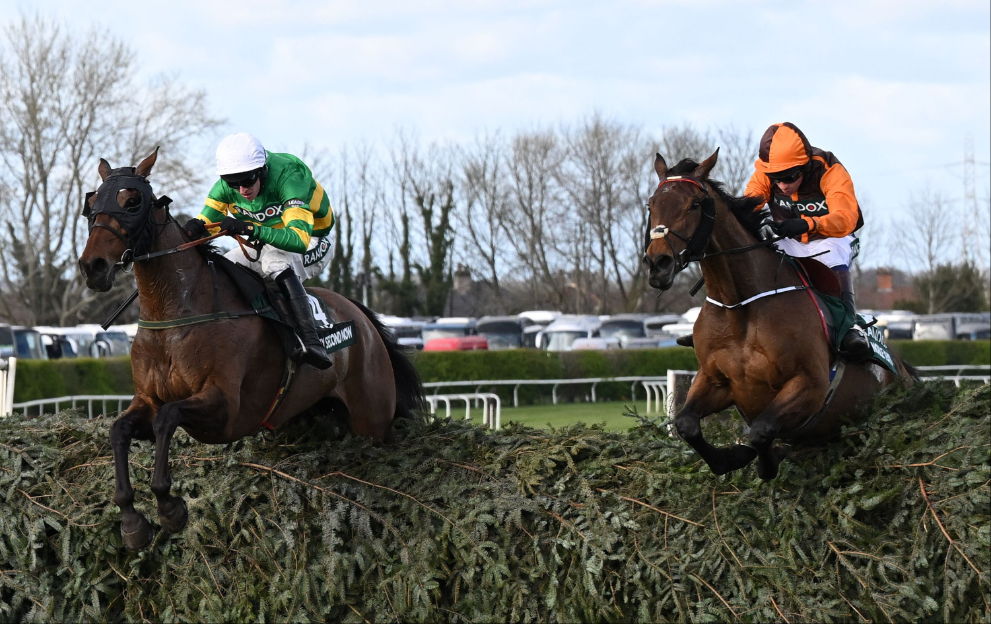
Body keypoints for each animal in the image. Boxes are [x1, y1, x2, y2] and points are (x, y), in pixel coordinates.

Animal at [74, 149, 422, 548]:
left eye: (132, 201)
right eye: (91, 204)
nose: (93, 266)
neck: (175, 314)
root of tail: (362, 318)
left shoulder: (227, 410)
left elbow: (168, 419)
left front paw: (169, 507)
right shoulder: (147, 399)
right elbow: (119, 430)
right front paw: (132, 522)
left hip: (372, 417)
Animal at [644, 149, 916, 480]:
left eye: (695, 204)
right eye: (651, 204)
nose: (658, 264)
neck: (739, 307)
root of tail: (901, 369)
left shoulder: (810, 384)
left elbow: (761, 430)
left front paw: (765, 461)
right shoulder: (715, 380)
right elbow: (686, 424)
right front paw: (732, 457)